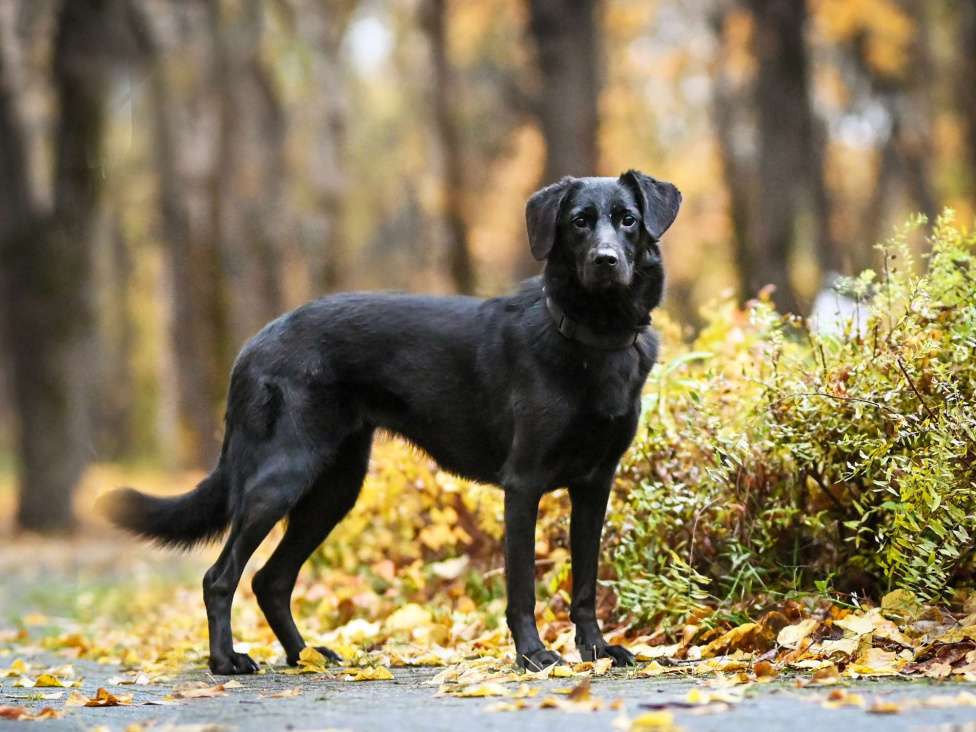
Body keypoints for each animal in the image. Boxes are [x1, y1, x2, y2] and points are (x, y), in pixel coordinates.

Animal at [97, 169, 680, 672]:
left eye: (628, 219)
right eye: (579, 221)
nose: (606, 260)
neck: (592, 337)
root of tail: (254, 344)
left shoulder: (594, 486)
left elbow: (585, 583)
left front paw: (598, 651)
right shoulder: (524, 485)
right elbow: (521, 589)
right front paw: (534, 655)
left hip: (334, 490)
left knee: (270, 580)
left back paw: (305, 656)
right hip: (279, 480)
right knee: (221, 577)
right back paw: (226, 661)